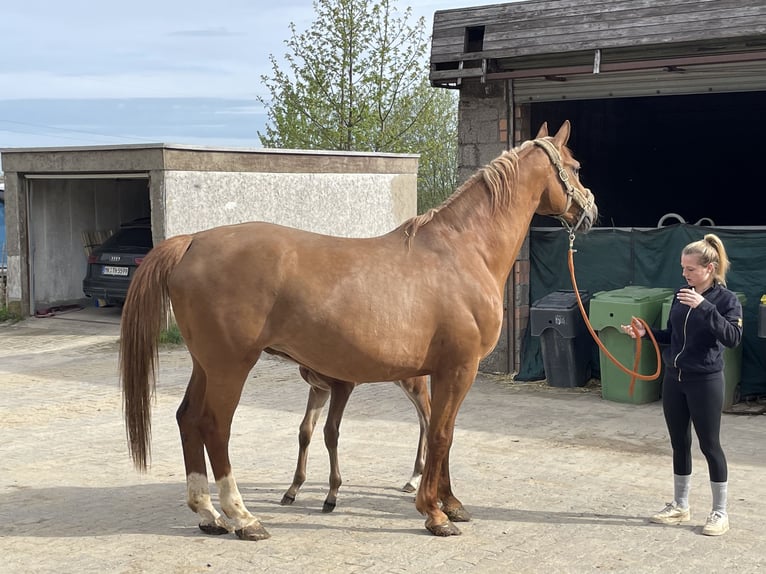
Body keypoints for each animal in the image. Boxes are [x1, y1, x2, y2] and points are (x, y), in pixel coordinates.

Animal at [284, 372, 432, 516]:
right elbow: (305, 431)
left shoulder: (343, 387)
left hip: (413, 383)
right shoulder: (319, 388)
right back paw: (414, 479)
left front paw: (332, 495)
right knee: (422, 419)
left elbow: (330, 433)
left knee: (428, 418)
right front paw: (292, 490)